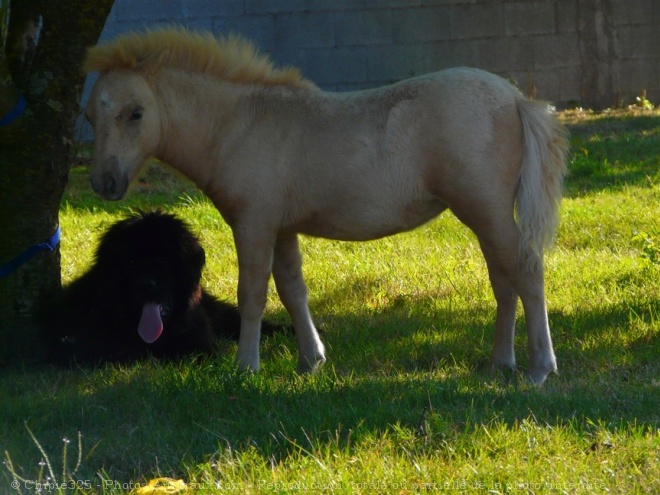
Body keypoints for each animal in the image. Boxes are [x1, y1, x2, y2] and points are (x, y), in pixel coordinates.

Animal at [82, 28, 568, 388]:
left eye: (136, 113)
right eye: (90, 117)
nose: (105, 183)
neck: (240, 125)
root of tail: (515, 99)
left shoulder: (253, 224)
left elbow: (252, 294)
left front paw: (246, 368)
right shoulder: (282, 228)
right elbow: (292, 291)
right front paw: (310, 361)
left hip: (485, 211)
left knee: (526, 272)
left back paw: (539, 368)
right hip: (485, 216)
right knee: (503, 281)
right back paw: (500, 363)